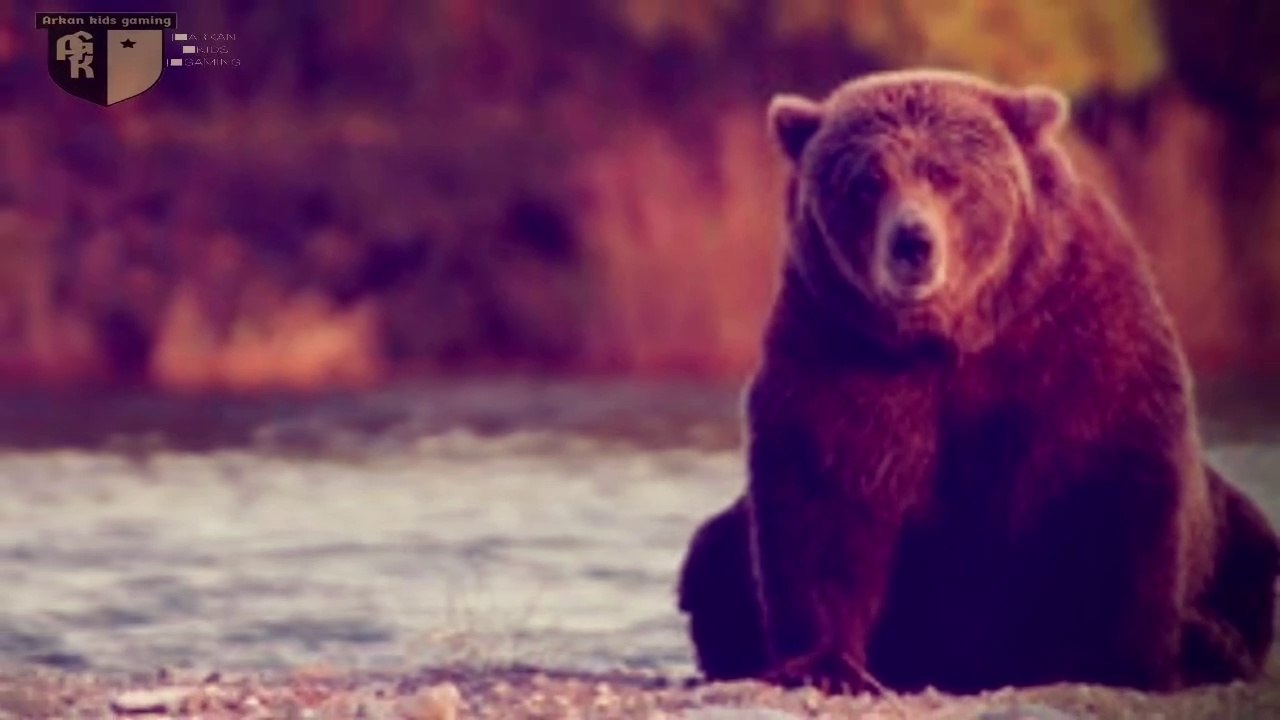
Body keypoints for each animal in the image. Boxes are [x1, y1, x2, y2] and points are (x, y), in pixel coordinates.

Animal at [676, 69, 1278, 695]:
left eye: (947, 174)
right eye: (866, 182)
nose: (913, 243)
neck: (950, 336)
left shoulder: (1077, 339)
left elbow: (1115, 487)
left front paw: (1118, 661)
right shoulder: (838, 348)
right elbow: (825, 495)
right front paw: (824, 665)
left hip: (1236, 537)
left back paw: (1209, 642)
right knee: (712, 556)